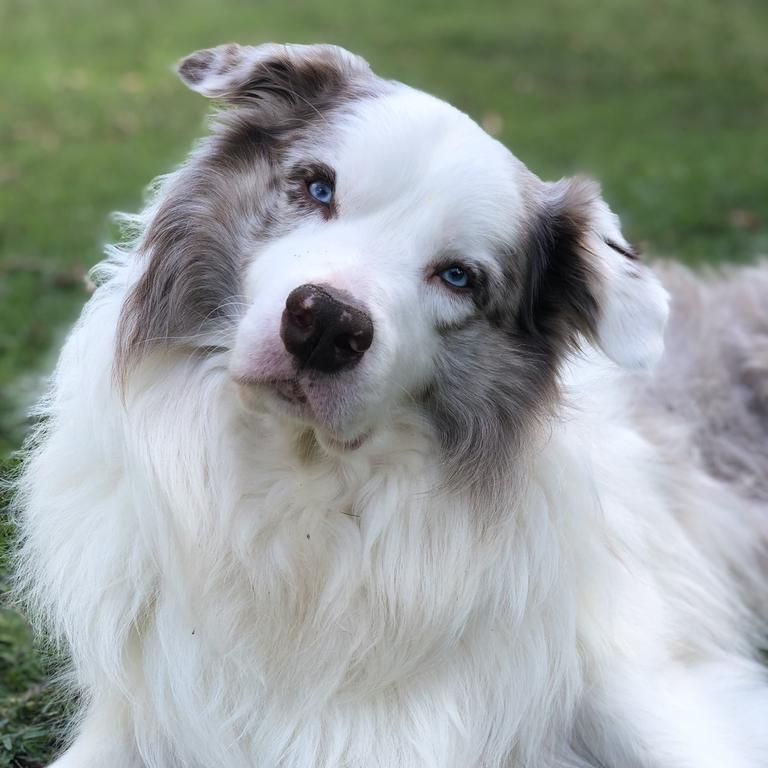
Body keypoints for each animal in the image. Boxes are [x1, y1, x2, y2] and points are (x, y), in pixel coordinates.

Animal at [13, 43, 768, 768]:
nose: (324, 324)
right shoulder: (148, 708)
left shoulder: (644, 675)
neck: (305, 494)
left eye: (459, 277)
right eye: (318, 187)